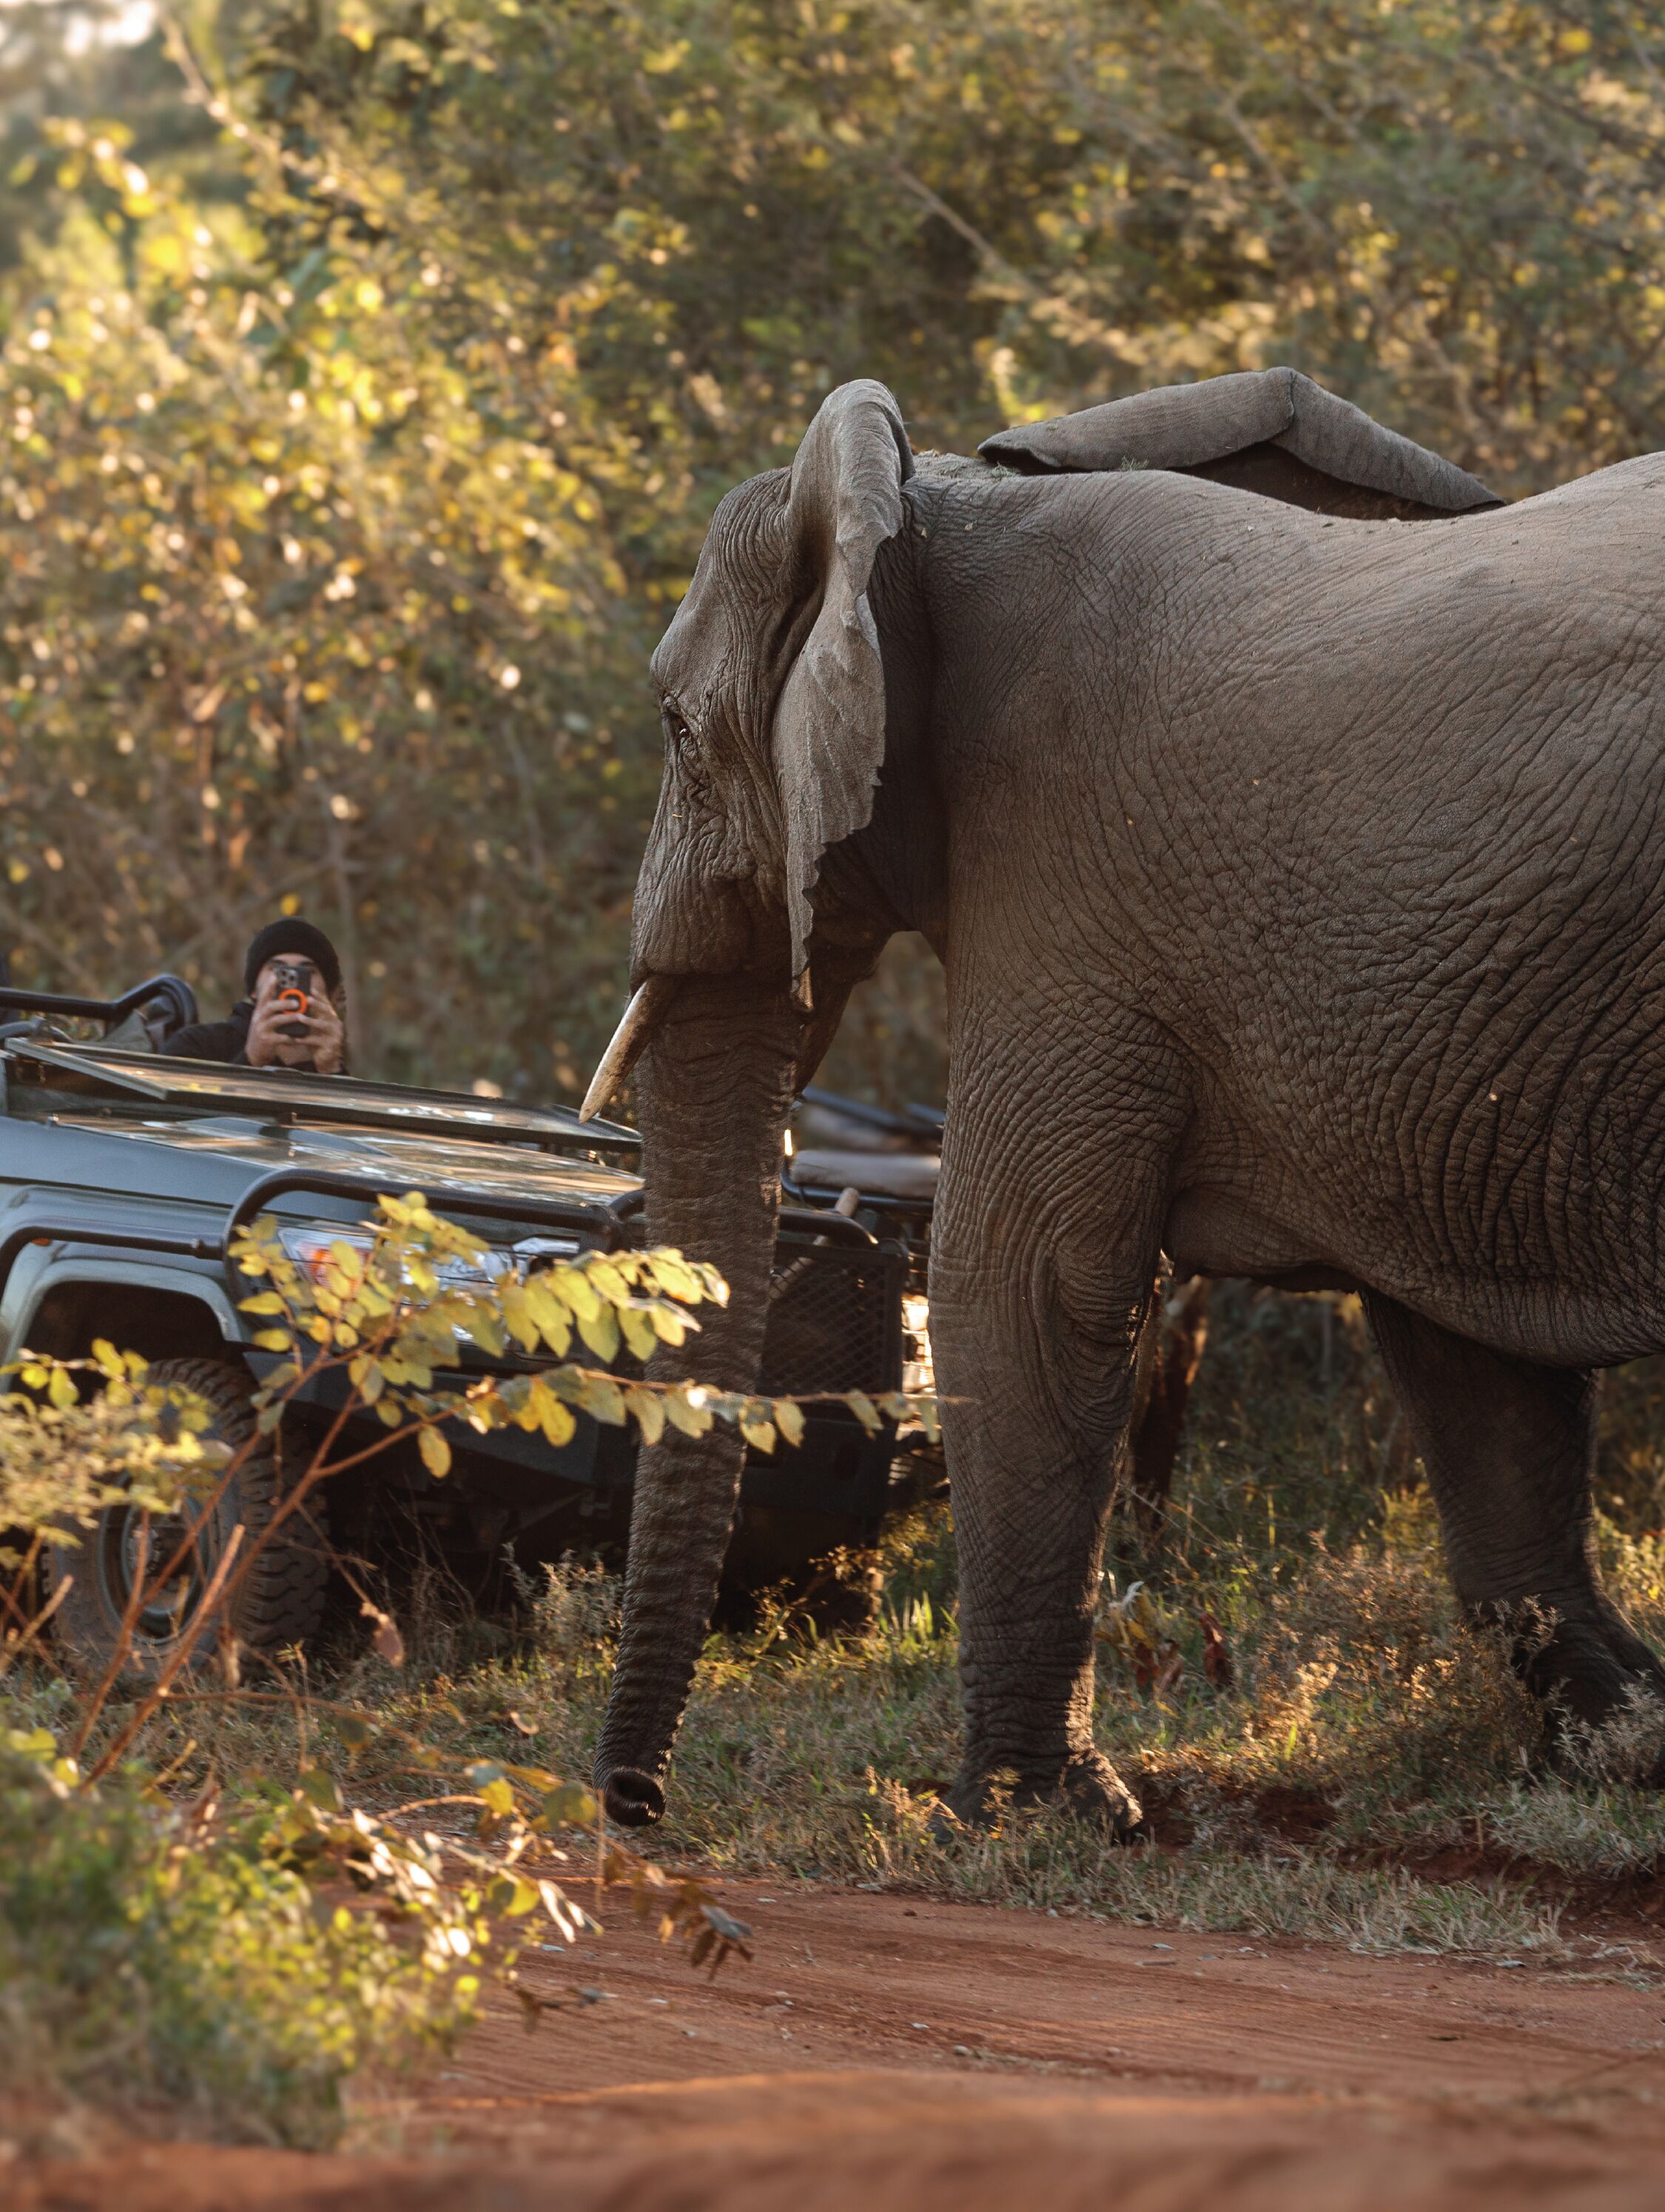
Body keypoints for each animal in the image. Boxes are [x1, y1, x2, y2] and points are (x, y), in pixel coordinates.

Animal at [582, 363, 1665, 1835]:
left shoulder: (1063, 878)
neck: (930, 508)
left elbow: (1019, 1282)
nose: (633, 1804)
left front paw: (1024, 1817)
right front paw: (1621, 1750)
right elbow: (1467, 1350)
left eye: (680, 731)